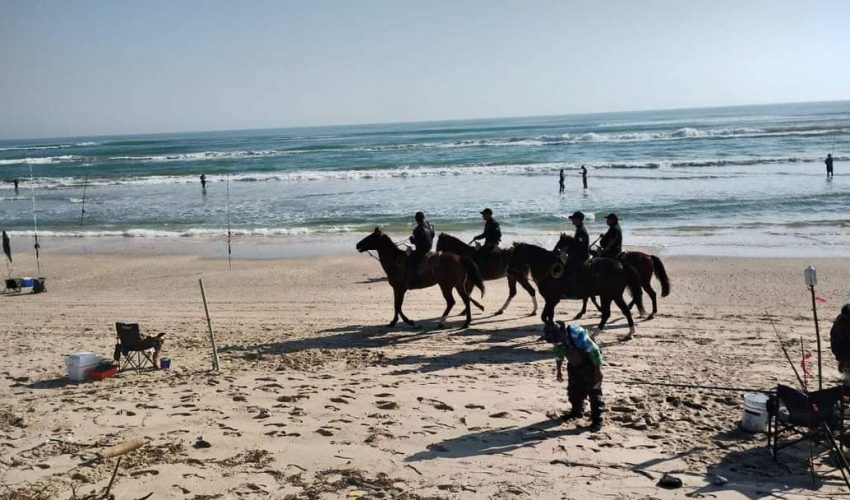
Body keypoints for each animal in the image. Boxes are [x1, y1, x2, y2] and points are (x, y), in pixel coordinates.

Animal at [352, 229, 484, 330]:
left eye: (370, 238)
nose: (357, 245)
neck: (395, 262)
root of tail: (460, 258)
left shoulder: (400, 288)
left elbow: (398, 306)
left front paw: (411, 322)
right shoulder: (397, 289)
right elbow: (396, 305)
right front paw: (393, 322)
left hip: (446, 286)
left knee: (452, 301)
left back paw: (443, 322)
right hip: (457, 285)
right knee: (465, 299)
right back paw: (466, 322)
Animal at [506, 243, 640, 336]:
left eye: (516, 255)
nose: (509, 270)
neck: (548, 268)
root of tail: (622, 265)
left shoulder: (552, 299)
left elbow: (545, 317)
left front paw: (554, 328)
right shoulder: (551, 300)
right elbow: (549, 316)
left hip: (611, 295)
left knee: (618, 311)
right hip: (610, 296)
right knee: (615, 312)